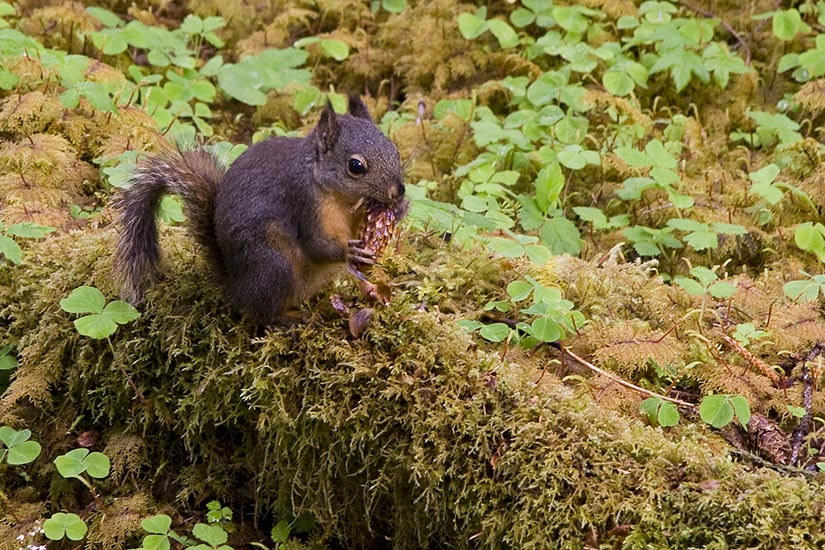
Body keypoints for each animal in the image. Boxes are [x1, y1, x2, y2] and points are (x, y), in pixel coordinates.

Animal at [112, 95, 408, 326]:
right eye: (356, 166)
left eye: (394, 149)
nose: (399, 191)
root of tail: (234, 285)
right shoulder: (304, 202)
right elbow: (316, 243)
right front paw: (348, 252)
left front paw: (399, 210)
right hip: (275, 265)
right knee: (261, 312)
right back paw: (288, 318)